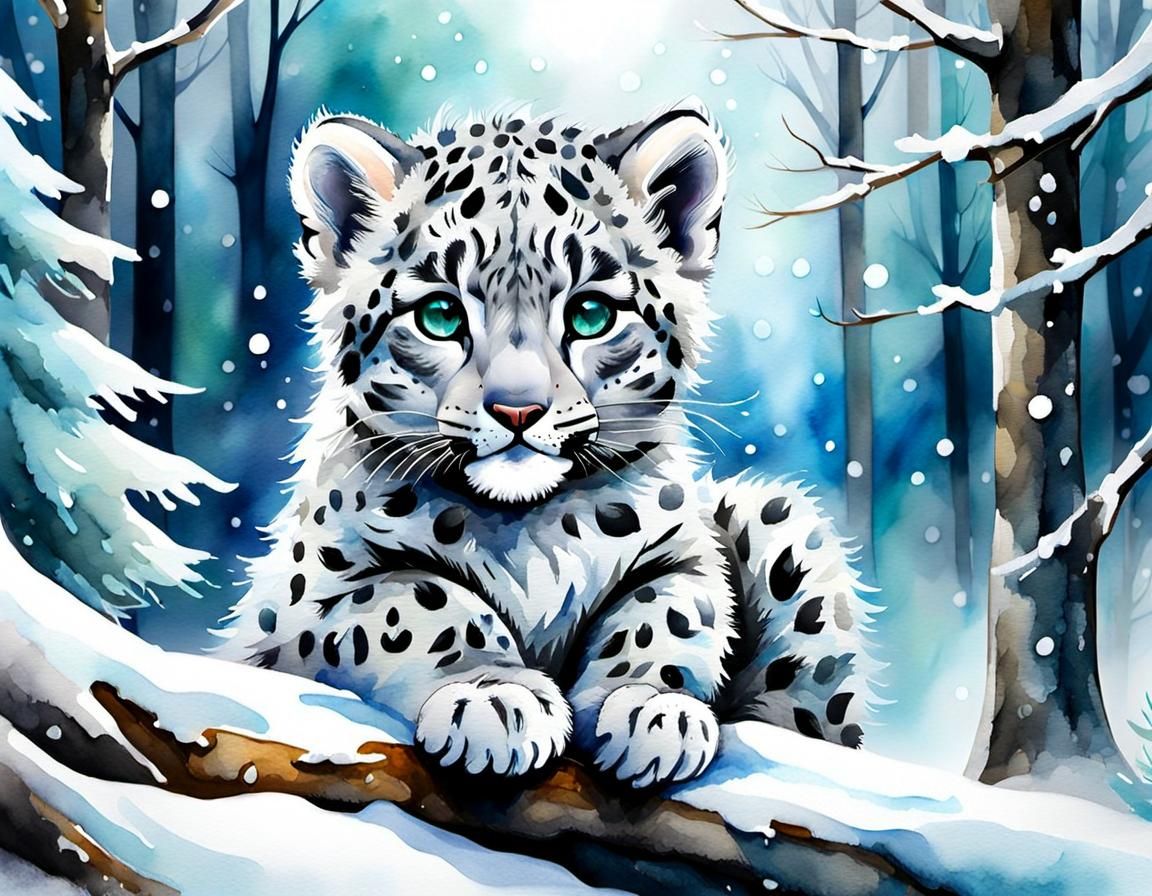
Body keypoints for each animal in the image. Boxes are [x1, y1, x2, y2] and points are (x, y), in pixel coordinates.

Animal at [223, 101, 877, 789]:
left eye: (591, 313)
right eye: (439, 315)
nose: (518, 408)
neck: (532, 529)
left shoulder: (683, 557)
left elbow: (667, 615)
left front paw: (651, 709)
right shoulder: (316, 592)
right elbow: (422, 603)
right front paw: (496, 698)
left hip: (783, 528)